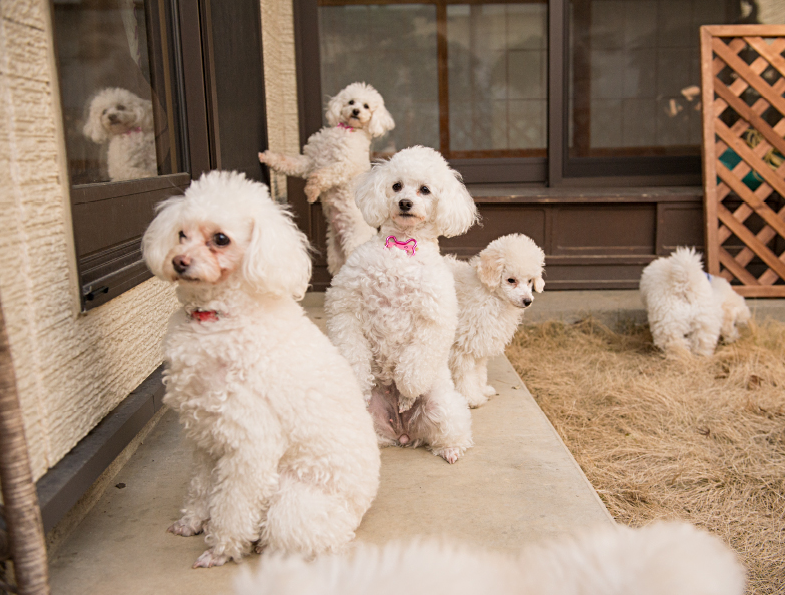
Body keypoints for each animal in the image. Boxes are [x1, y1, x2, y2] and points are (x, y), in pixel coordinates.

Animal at [146, 171, 382, 568]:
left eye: (221, 239)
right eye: (180, 234)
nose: (179, 261)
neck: (218, 318)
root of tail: (360, 510)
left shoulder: (250, 441)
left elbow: (232, 503)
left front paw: (220, 549)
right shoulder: (203, 433)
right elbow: (200, 486)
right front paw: (192, 522)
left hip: (291, 497)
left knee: (308, 536)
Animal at [260, 82, 396, 276]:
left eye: (366, 106)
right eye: (351, 101)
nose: (356, 111)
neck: (347, 130)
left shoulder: (343, 166)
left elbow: (321, 176)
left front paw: (311, 192)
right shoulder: (310, 161)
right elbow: (289, 162)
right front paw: (267, 157)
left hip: (353, 242)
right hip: (334, 254)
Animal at [324, 146, 478, 466]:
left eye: (425, 190)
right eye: (396, 186)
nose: (405, 202)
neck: (402, 248)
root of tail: (402, 433)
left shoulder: (436, 316)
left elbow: (416, 360)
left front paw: (406, 386)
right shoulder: (344, 303)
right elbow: (352, 349)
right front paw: (358, 378)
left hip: (443, 405)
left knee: (451, 432)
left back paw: (451, 449)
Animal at [448, 235, 544, 408]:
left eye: (529, 281)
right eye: (511, 280)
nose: (527, 301)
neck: (490, 295)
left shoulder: (479, 342)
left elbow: (479, 371)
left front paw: (482, 390)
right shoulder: (462, 346)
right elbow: (466, 374)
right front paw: (472, 398)